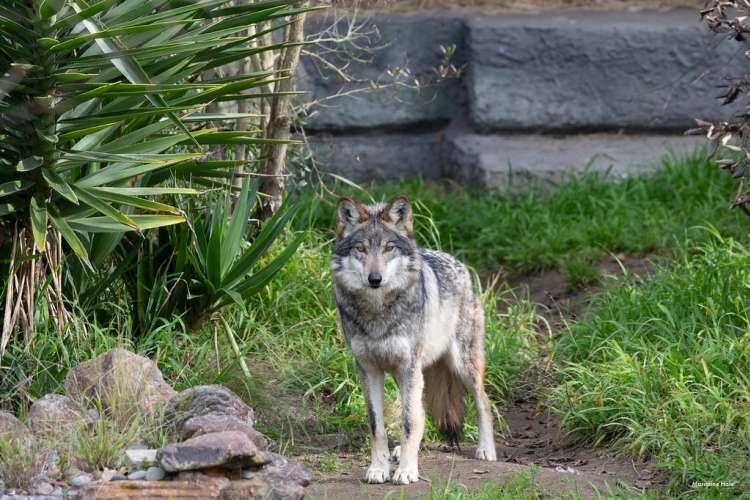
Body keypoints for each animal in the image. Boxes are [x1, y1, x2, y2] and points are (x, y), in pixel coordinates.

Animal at [330, 195, 496, 484]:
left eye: (388, 248)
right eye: (361, 249)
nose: (375, 279)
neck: (378, 313)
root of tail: (459, 264)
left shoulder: (408, 366)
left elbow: (409, 422)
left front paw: (407, 471)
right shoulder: (369, 369)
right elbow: (377, 425)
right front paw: (378, 469)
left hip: (461, 366)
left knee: (483, 403)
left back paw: (486, 450)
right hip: (410, 373)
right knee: (421, 411)